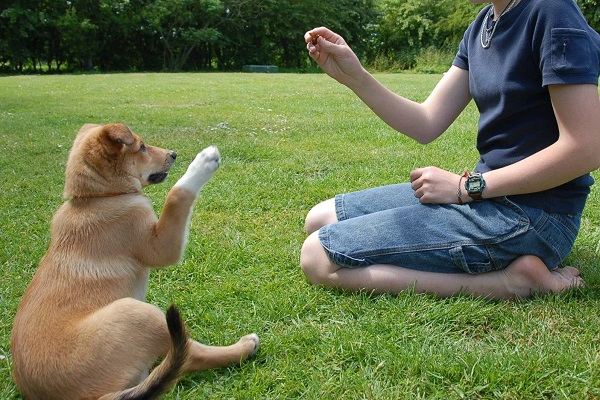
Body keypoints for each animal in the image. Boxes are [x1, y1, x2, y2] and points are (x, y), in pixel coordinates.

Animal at [9, 123, 258, 398]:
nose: (173, 154)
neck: (100, 197)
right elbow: (176, 195)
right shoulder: (160, 246)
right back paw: (244, 347)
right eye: (141, 147)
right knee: (191, 355)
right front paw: (203, 162)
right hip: (136, 312)